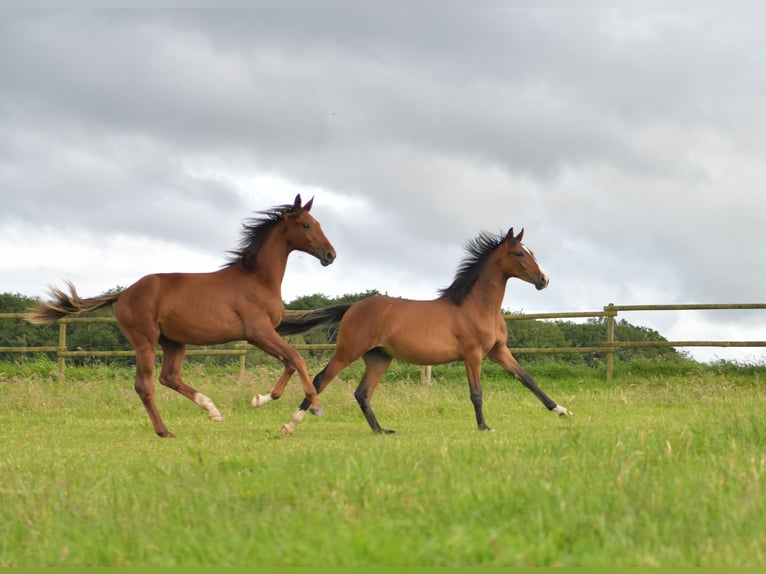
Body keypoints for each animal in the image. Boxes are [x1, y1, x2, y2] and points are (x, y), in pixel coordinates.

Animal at [26, 196, 336, 438]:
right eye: (306, 225)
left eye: (318, 223)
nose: (330, 255)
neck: (257, 278)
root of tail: (124, 293)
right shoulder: (258, 332)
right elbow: (296, 358)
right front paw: (315, 407)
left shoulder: (263, 334)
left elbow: (289, 362)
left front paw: (261, 399)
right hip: (146, 341)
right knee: (145, 385)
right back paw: (164, 430)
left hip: (174, 342)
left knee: (170, 377)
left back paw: (212, 411)